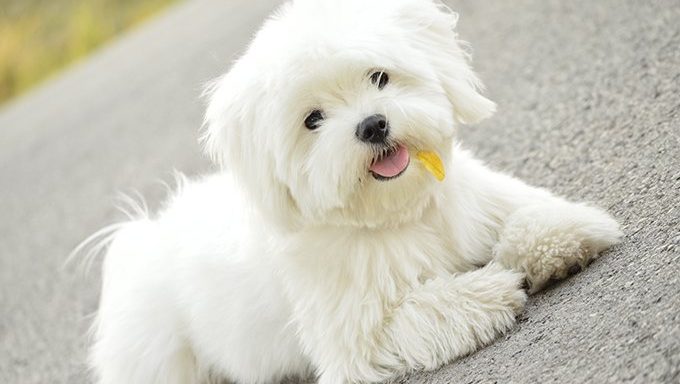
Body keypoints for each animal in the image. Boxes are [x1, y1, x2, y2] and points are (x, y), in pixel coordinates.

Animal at [87, 0, 624, 384]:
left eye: (379, 76)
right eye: (313, 119)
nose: (372, 124)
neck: (399, 214)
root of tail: (143, 235)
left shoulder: (481, 203)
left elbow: (528, 215)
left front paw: (561, 234)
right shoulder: (357, 342)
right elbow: (423, 311)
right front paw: (489, 289)